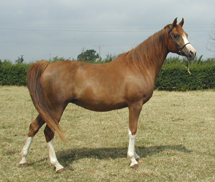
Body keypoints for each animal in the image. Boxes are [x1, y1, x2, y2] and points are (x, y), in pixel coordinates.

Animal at [20, 18, 197, 172]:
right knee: (49, 132)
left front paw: (136, 156)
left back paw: (23, 159)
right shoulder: (135, 104)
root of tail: (47, 66)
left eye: (186, 34)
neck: (139, 65)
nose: (193, 53)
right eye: (176, 35)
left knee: (33, 126)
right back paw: (57, 165)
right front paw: (132, 160)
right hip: (56, 108)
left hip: (46, 108)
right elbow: (133, 130)